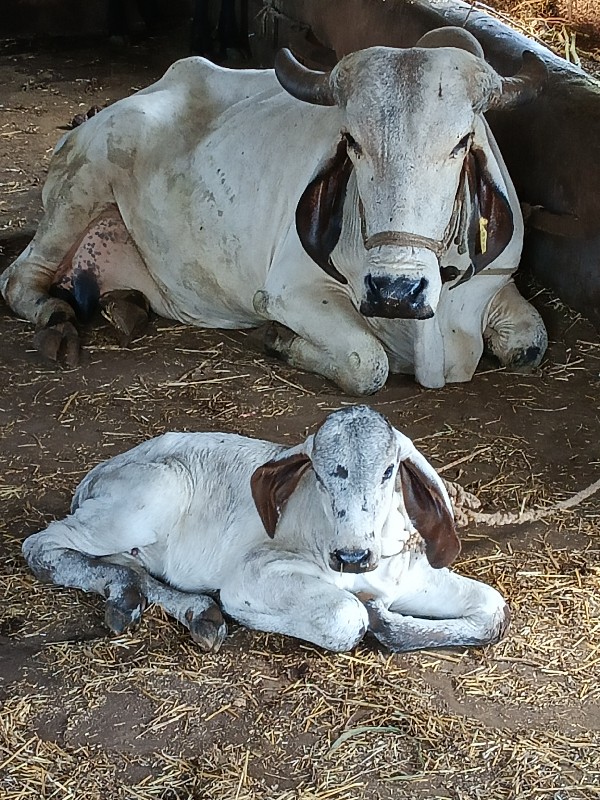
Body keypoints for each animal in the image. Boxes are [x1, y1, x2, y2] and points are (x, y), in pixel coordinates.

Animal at [0, 28, 548, 394]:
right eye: (352, 142)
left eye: (461, 142)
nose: (396, 290)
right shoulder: (290, 292)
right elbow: (367, 363)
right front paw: (280, 341)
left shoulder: (499, 281)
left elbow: (531, 342)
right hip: (82, 186)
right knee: (18, 276)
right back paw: (53, 317)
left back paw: (125, 308)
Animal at [24, 404, 510, 652]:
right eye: (319, 473)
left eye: (389, 471)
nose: (352, 556)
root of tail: (100, 471)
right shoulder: (253, 573)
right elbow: (347, 616)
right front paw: (371, 615)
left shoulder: (410, 576)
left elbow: (493, 610)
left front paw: (388, 619)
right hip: (148, 497)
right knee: (43, 545)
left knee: (133, 569)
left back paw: (186, 609)